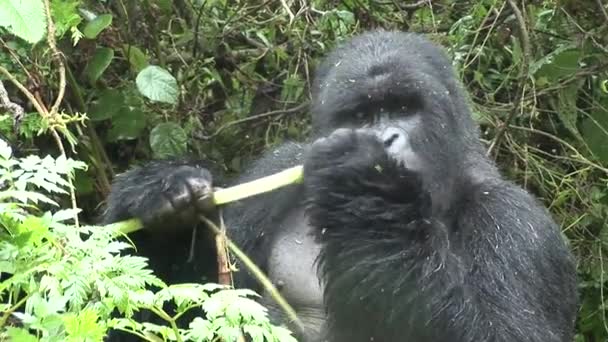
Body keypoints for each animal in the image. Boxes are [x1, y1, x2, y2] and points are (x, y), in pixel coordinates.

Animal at [104, 30, 580, 340]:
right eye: (361, 116)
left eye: (404, 108)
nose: (385, 139)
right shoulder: (277, 167)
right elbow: (173, 313)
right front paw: (160, 195)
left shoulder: (515, 223)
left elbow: (503, 332)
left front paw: (370, 196)